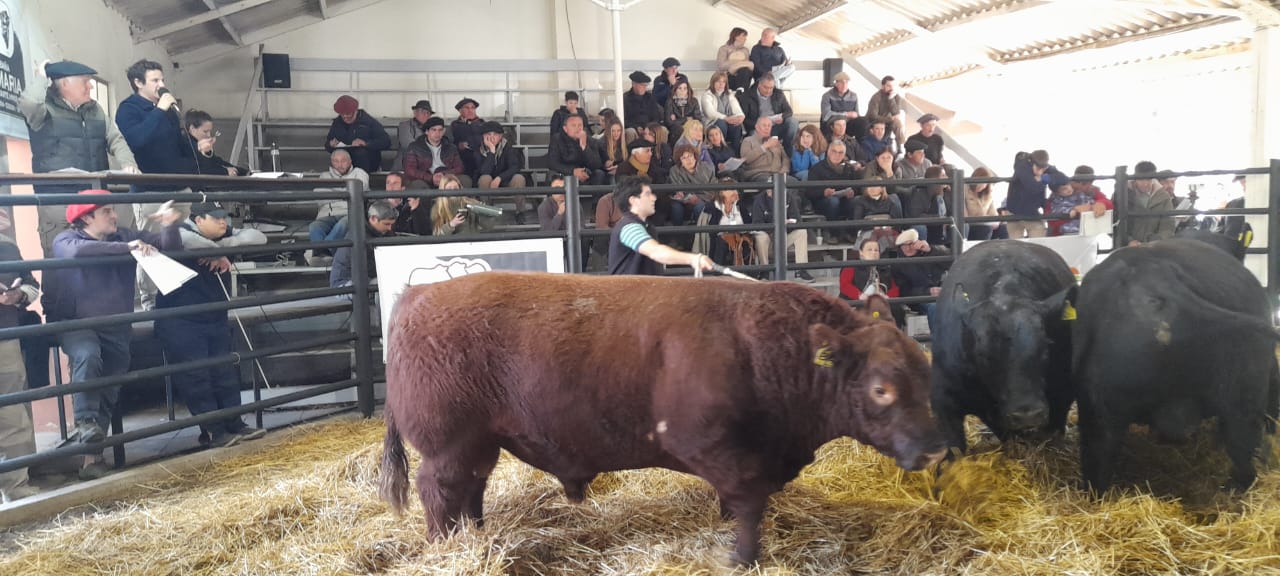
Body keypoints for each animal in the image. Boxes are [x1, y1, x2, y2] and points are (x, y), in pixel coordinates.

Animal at [379, 272, 945, 565]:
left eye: (926, 373)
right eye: (882, 389)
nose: (935, 447)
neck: (760, 344)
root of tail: (416, 296)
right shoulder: (717, 449)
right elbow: (748, 502)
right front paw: (743, 557)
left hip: (480, 443)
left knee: (471, 488)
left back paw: (476, 535)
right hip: (448, 444)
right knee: (440, 491)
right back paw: (446, 546)